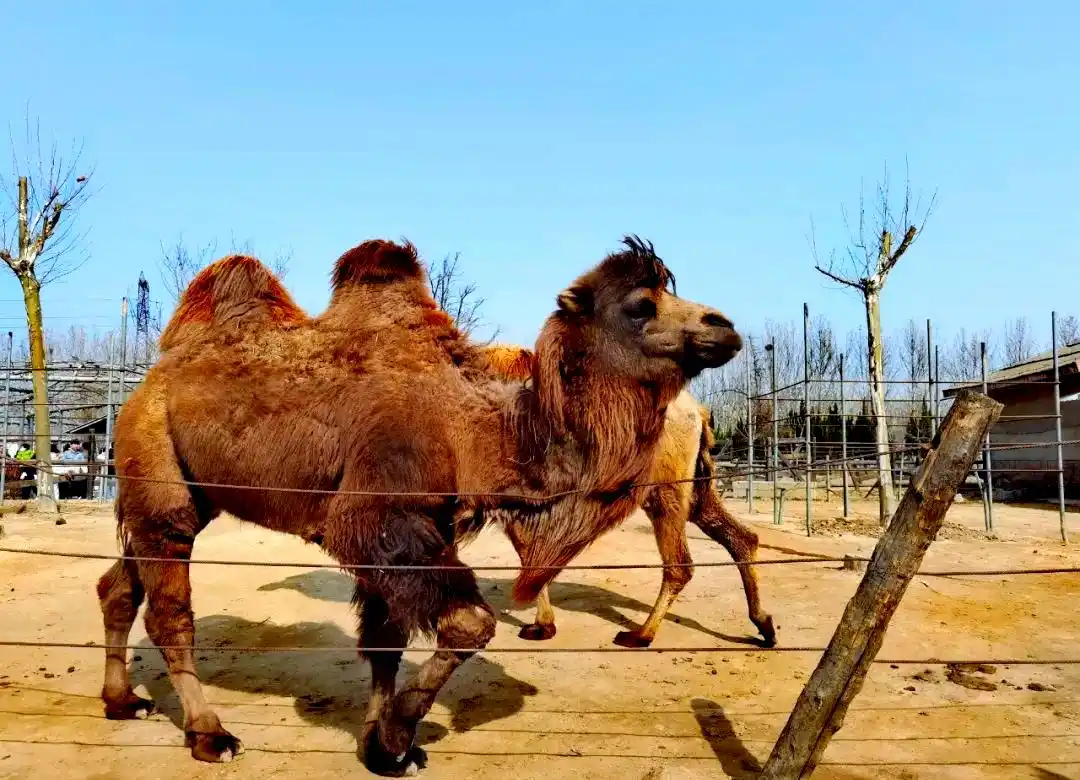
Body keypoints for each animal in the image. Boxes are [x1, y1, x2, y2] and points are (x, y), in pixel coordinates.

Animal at [95, 236, 741, 776]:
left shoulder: (429, 520)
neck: (472, 426)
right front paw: (397, 737)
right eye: (640, 305)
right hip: (154, 461)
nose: (725, 326)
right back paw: (210, 735)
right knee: (170, 609)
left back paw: (122, 700)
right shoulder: (375, 516)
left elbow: (386, 638)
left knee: (119, 584)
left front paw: (380, 744)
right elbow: (468, 621)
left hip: (188, 488)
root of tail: (148, 379)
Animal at [475, 344, 776, 648]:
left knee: (680, 561)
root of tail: (697, 409)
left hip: (663, 481)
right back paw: (765, 625)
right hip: (694, 484)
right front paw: (543, 624)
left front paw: (541, 626)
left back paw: (640, 634)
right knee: (738, 536)